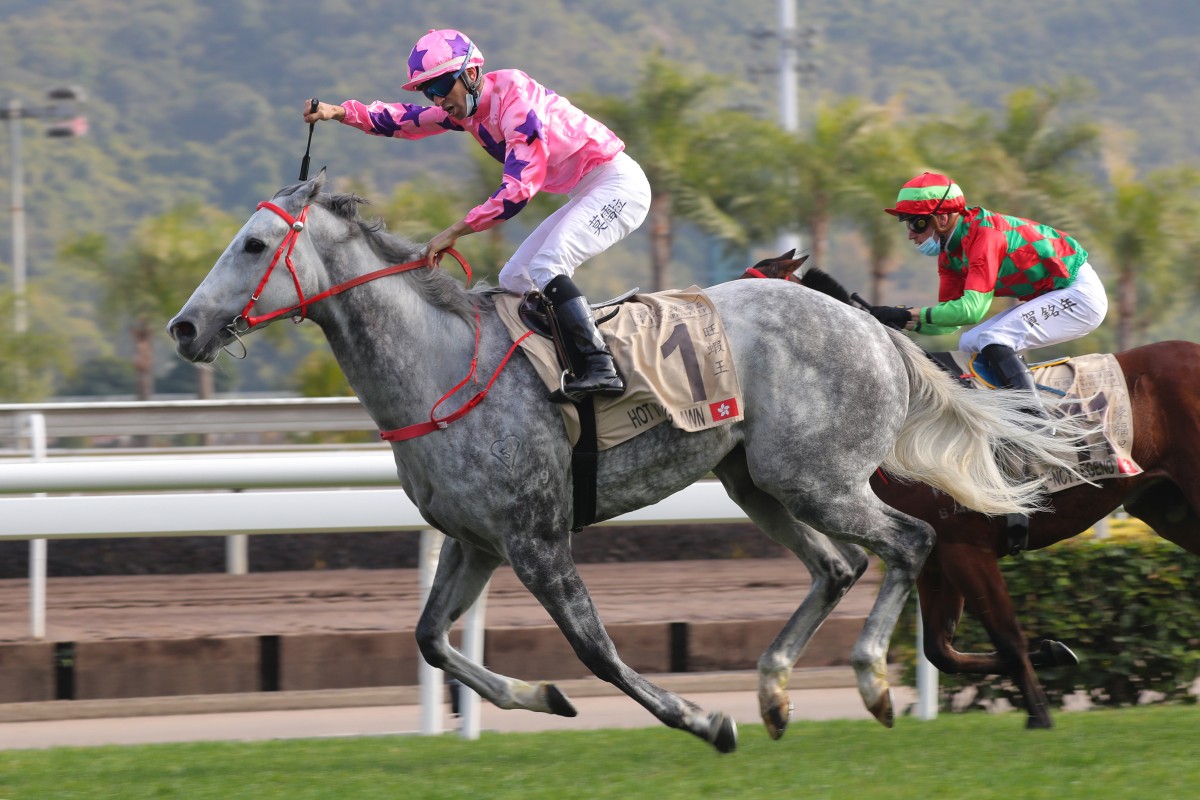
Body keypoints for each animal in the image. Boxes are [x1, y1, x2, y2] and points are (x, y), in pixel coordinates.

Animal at [169, 172, 1089, 753]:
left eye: (252, 244)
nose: (184, 328)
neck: (439, 365)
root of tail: (865, 321)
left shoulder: (538, 541)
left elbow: (596, 651)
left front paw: (703, 721)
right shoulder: (475, 541)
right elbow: (430, 640)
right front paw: (536, 697)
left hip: (816, 477)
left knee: (907, 543)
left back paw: (867, 681)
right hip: (756, 480)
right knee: (838, 566)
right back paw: (774, 692)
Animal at [739, 253, 1200, 729]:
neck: (911, 410)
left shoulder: (967, 547)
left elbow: (1006, 637)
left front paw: (1039, 715)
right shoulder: (936, 556)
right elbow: (940, 651)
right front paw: (1055, 652)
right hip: (1167, 508)